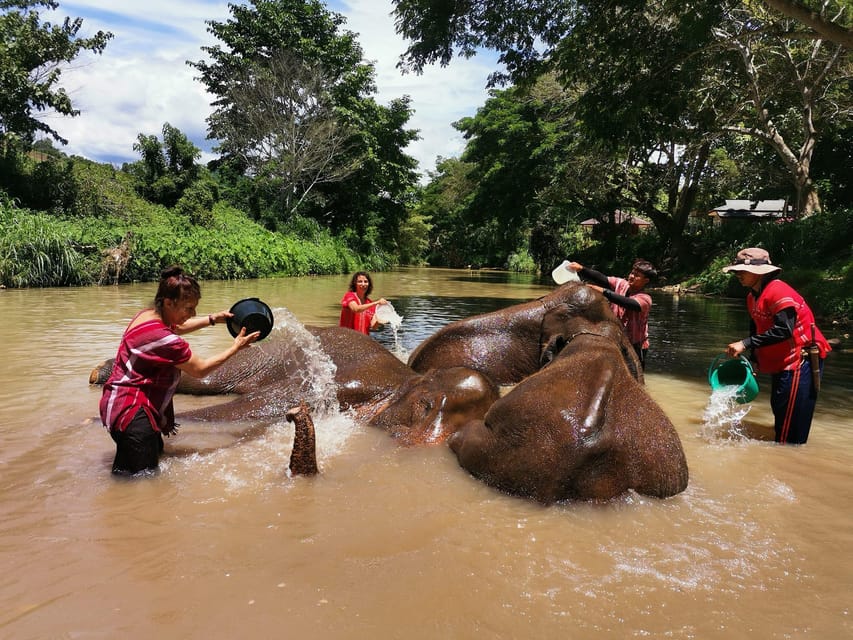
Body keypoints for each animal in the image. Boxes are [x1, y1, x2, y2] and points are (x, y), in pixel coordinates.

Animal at [88, 324, 500, 444]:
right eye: (425, 406)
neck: (404, 383)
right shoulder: (351, 382)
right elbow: (259, 403)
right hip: (261, 353)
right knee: (211, 379)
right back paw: (99, 374)